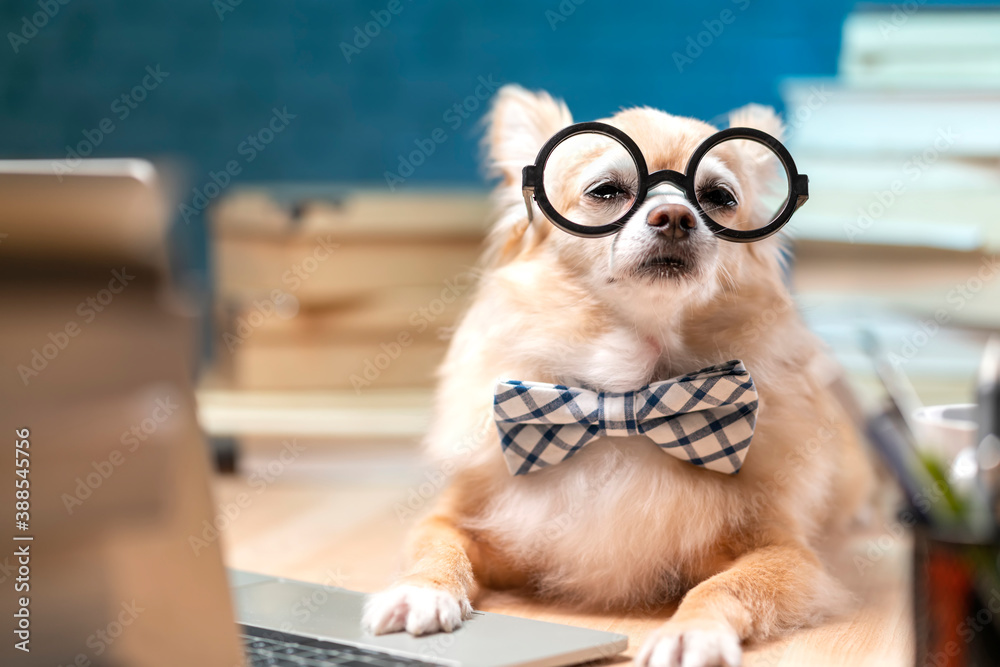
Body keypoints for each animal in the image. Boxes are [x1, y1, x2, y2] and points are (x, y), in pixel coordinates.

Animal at [362, 87, 876, 667]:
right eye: (606, 191)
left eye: (719, 198)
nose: (675, 215)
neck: (625, 399)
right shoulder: (456, 517)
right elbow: (437, 546)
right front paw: (420, 592)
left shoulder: (786, 553)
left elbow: (725, 586)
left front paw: (691, 631)